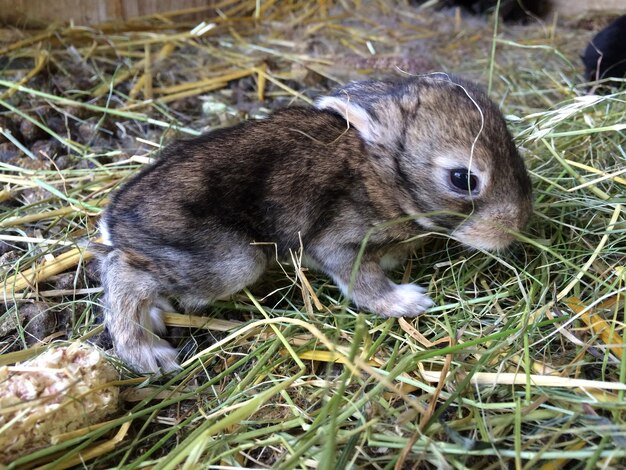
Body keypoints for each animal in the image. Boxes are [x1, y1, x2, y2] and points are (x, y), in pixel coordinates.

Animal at [97, 75, 532, 372]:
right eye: (463, 179)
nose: (517, 224)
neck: (380, 177)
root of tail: (114, 221)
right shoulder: (338, 241)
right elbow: (362, 282)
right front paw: (408, 301)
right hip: (231, 263)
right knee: (122, 271)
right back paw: (147, 351)